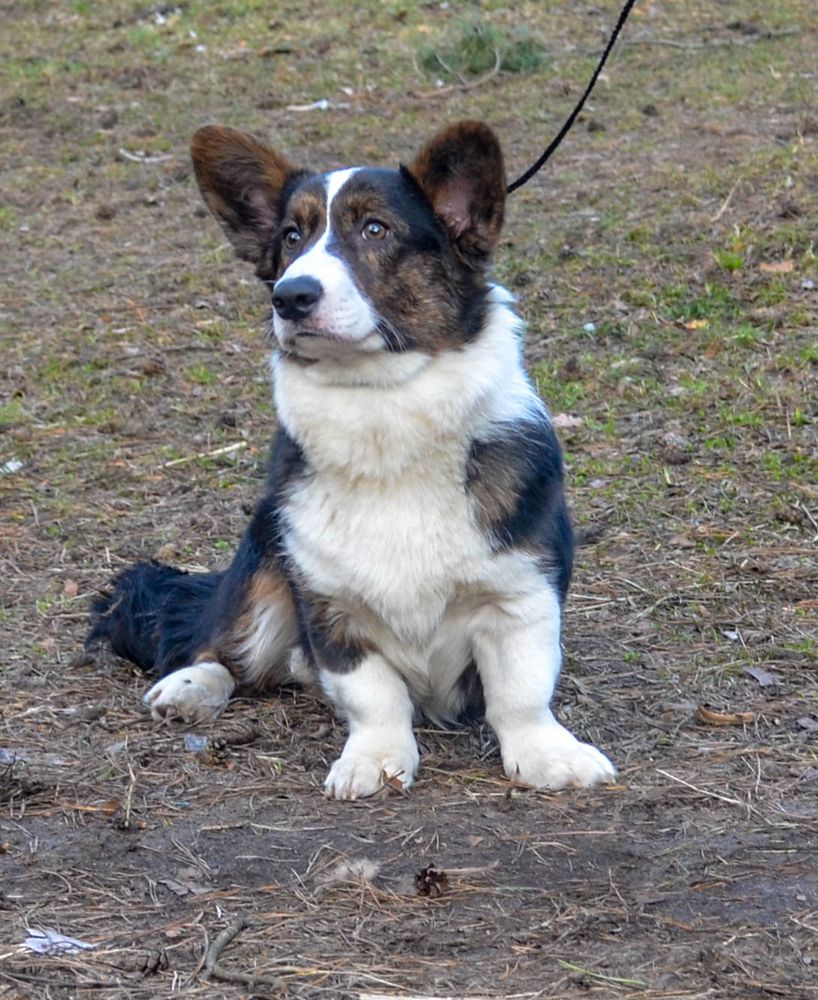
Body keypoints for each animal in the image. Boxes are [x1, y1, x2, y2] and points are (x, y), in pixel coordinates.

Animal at [87, 121, 612, 800]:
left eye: (376, 229)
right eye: (291, 237)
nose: (291, 296)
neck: (381, 410)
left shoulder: (520, 597)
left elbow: (520, 693)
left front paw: (549, 756)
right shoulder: (330, 608)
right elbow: (374, 695)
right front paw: (375, 761)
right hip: (263, 565)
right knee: (230, 653)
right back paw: (190, 687)